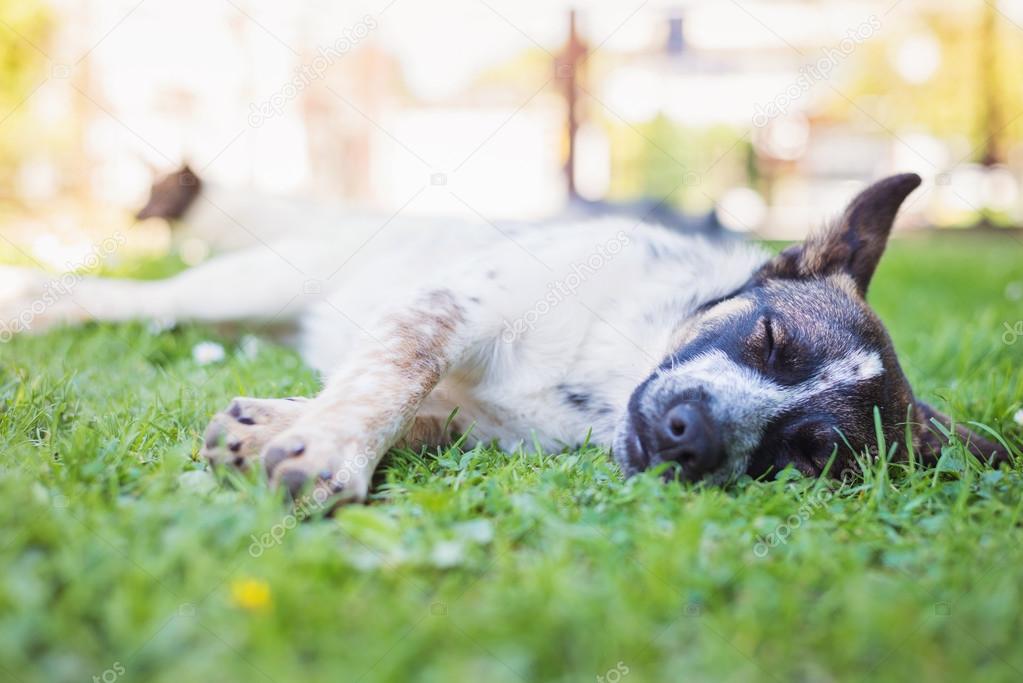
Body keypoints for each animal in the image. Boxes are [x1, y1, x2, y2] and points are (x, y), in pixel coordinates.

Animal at [0, 170, 1010, 501]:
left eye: (808, 455)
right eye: (765, 338)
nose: (687, 435)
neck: (607, 377)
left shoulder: (468, 419)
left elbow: (396, 401)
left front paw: (285, 426)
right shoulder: (452, 305)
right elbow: (391, 376)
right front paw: (330, 448)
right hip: (245, 282)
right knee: (132, 300)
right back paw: (31, 299)